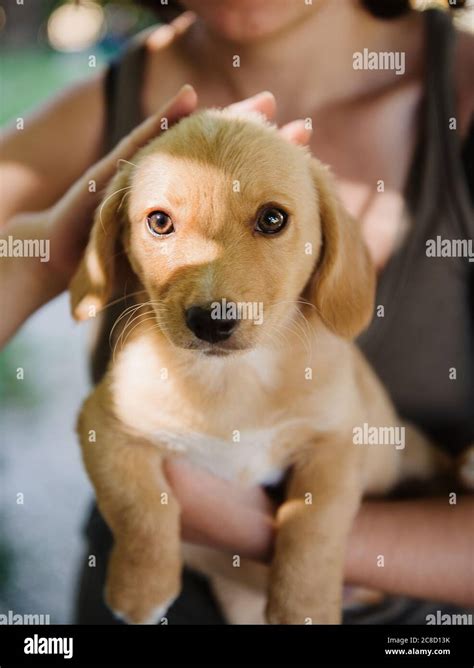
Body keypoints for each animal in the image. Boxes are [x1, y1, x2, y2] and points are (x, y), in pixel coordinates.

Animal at [70, 107, 452, 624]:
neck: (232, 381)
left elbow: (313, 527)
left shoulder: (338, 442)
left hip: (402, 440)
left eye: (273, 219)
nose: (211, 321)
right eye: (159, 222)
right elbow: (140, 508)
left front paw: (304, 606)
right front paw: (141, 590)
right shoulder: (104, 426)